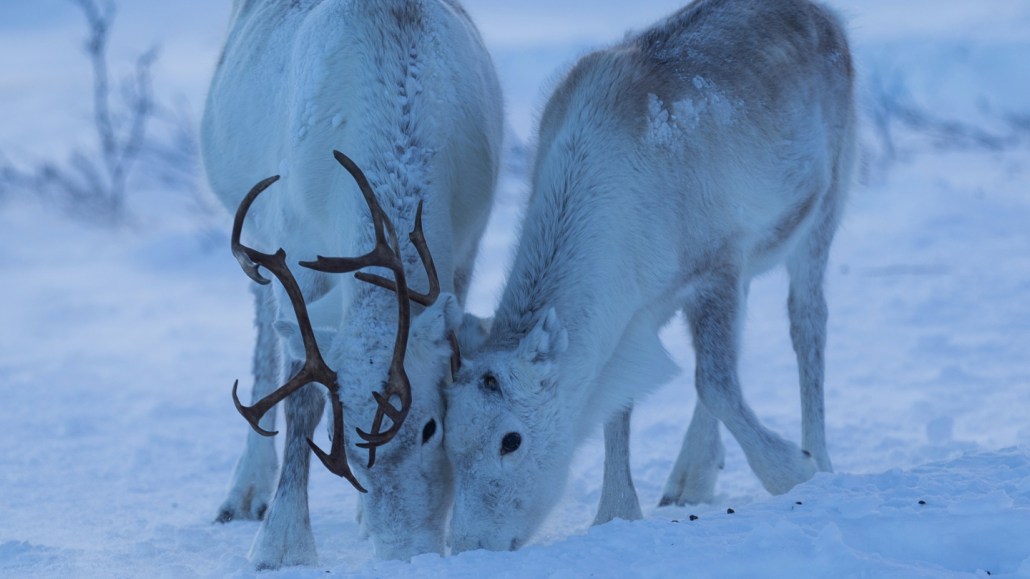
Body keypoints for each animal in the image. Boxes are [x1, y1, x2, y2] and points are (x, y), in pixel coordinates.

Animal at [200, 0, 502, 568]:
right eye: (344, 450)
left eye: (431, 427)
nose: (409, 555)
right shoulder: (295, 252)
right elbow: (301, 402)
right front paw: (282, 544)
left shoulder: (468, 245)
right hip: (254, 243)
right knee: (263, 349)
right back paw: (245, 491)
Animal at [443, 0, 855, 553]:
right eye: (447, 441)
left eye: (511, 440)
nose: (468, 544)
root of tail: (827, 15)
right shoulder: (637, 311)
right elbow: (623, 407)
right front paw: (615, 511)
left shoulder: (716, 264)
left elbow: (714, 383)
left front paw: (792, 470)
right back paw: (691, 477)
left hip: (823, 206)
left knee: (807, 323)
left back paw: (820, 457)